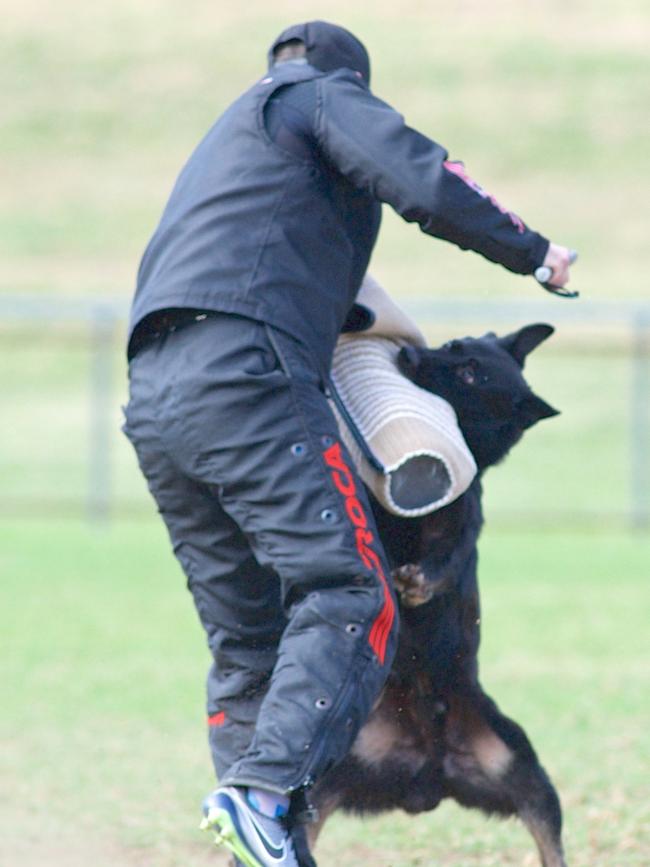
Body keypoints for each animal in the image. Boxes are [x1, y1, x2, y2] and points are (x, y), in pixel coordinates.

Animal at [302, 322, 564, 867]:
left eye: (471, 374)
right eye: (453, 346)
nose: (409, 353)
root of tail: (431, 771)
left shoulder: (460, 526)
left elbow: (443, 561)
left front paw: (417, 582)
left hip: (525, 773)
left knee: (550, 839)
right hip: (330, 775)